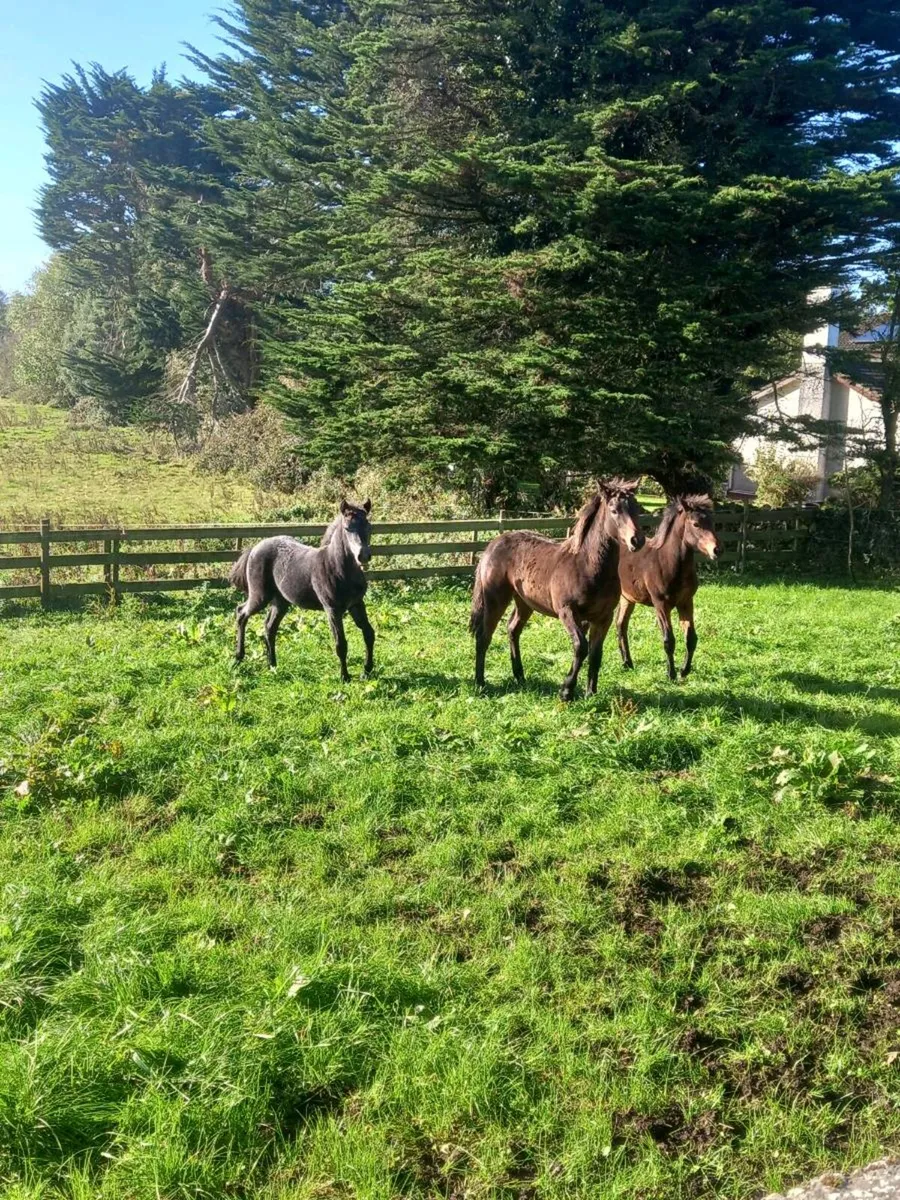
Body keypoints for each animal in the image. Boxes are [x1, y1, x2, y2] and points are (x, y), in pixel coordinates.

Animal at [229, 499, 375, 680]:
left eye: (369, 527)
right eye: (348, 528)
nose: (364, 556)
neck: (338, 568)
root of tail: (254, 548)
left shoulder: (356, 604)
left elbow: (369, 634)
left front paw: (366, 671)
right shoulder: (332, 609)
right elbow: (340, 644)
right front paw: (345, 677)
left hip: (281, 601)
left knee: (269, 627)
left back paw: (272, 665)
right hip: (260, 596)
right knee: (241, 613)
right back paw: (238, 658)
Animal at [469, 479, 645, 701]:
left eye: (637, 509)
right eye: (614, 510)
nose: (637, 540)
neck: (586, 565)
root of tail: (492, 544)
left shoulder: (603, 617)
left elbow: (596, 654)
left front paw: (591, 693)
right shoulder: (567, 611)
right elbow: (581, 647)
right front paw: (566, 691)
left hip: (524, 602)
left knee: (513, 629)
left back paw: (520, 676)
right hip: (495, 599)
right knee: (483, 636)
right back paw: (480, 683)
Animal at [615, 493, 721, 681]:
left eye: (713, 523)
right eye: (696, 524)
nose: (717, 550)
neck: (667, 562)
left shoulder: (686, 602)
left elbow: (691, 638)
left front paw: (684, 670)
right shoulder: (661, 605)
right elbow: (668, 640)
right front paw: (670, 673)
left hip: (627, 598)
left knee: (621, 625)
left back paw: (627, 663)